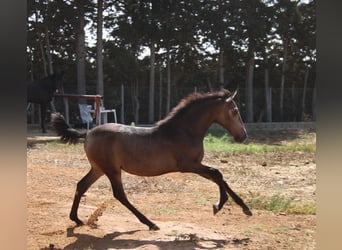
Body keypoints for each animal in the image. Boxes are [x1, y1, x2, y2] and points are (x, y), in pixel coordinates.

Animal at [50, 88, 251, 230]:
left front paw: (244, 208)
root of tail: (88, 133)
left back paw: (76, 219)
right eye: (234, 111)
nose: (243, 135)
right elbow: (217, 174)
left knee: (82, 185)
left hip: (98, 169)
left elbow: (219, 177)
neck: (183, 131)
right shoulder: (189, 165)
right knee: (119, 195)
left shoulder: (195, 165)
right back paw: (150, 223)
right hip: (111, 170)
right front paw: (219, 205)